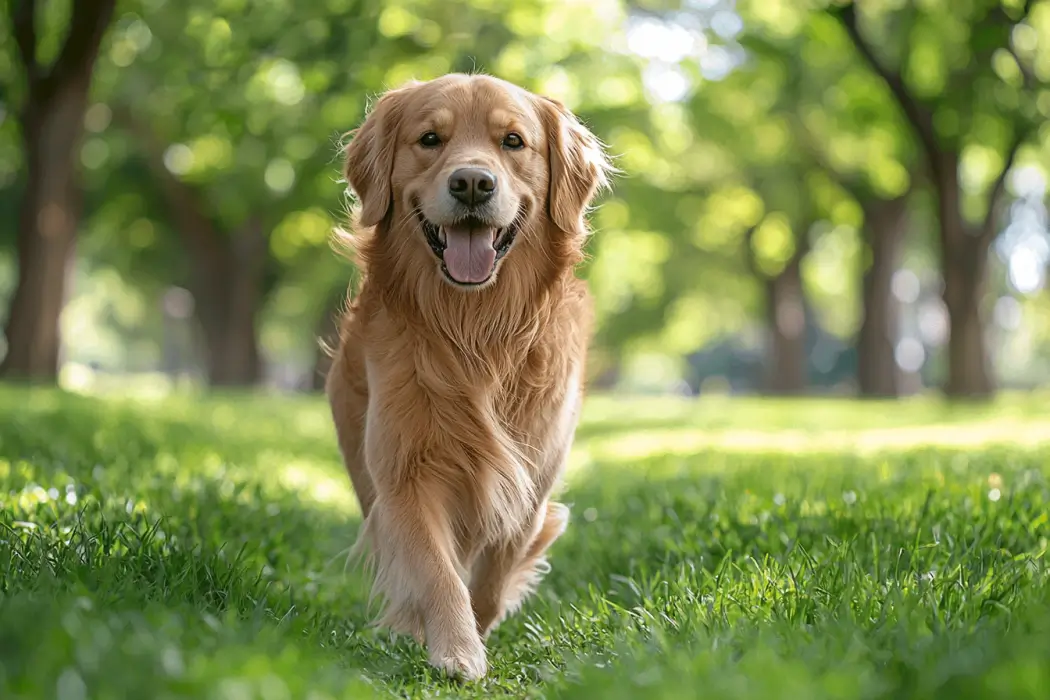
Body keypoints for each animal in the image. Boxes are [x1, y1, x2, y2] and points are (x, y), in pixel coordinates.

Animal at [323, 72, 613, 680]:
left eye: (514, 141)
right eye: (430, 139)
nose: (473, 183)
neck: (475, 332)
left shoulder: (532, 478)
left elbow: (495, 573)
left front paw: (476, 631)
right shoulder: (404, 472)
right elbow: (435, 569)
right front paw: (455, 650)